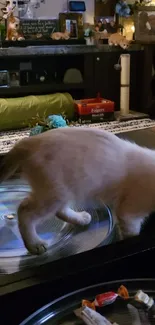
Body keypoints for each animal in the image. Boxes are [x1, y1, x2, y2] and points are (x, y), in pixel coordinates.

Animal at [0, 126, 154, 253]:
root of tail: (29, 141)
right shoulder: (129, 213)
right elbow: (132, 235)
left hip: (65, 190)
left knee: (60, 211)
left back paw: (81, 218)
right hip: (55, 194)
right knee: (24, 210)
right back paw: (34, 244)